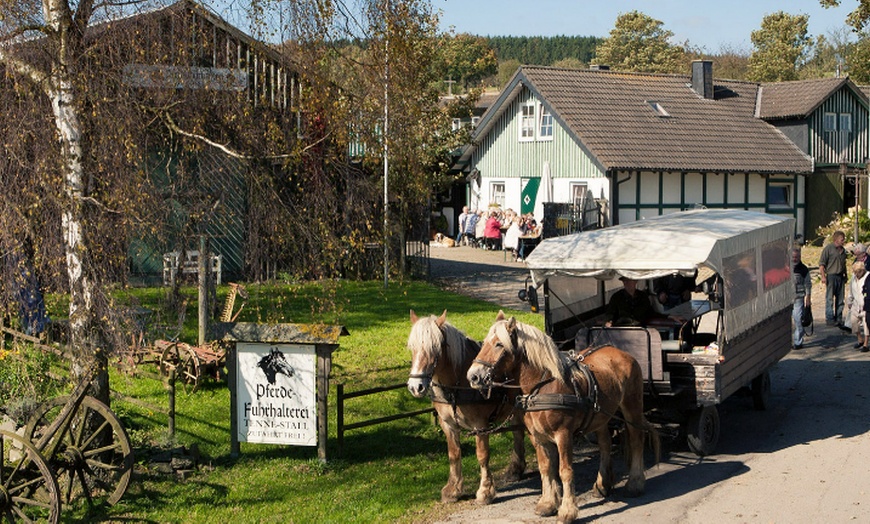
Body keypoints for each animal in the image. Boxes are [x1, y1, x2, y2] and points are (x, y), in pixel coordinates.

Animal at [408, 310, 528, 506]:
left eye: (436, 347)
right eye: (412, 347)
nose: (415, 387)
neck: (457, 385)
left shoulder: (480, 425)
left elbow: (482, 455)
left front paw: (485, 491)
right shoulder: (448, 424)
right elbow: (454, 453)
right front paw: (453, 490)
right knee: (518, 432)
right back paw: (515, 469)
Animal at [466, 314, 656, 520]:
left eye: (499, 344)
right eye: (485, 342)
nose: (473, 376)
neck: (541, 387)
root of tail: (620, 352)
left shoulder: (563, 434)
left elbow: (565, 471)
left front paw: (567, 510)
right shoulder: (537, 436)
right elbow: (546, 468)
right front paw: (548, 503)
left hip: (632, 407)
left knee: (637, 439)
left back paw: (635, 483)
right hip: (600, 415)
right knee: (605, 444)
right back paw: (602, 484)